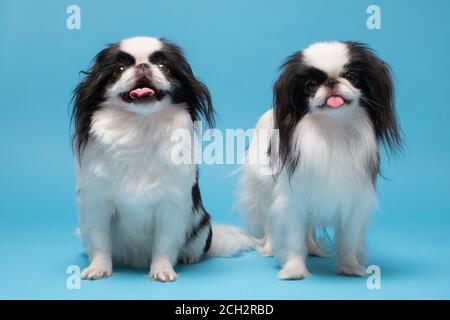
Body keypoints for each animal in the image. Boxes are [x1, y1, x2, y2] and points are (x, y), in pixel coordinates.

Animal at [71, 36, 251, 282]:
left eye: (163, 66)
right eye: (119, 69)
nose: (143, 66)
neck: (139, 126)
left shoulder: (171, 206)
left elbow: (164, 244)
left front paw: (162, 271)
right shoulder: (96, 203)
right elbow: (100, 241)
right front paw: (98, 268)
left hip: (202, 226)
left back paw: (189, 257)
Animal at [239, 41, 400, 278]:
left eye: (351, 76)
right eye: (310, 85)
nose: (332, 82)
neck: (332, 129)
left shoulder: (353, 201)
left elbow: (348, 239)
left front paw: (349, 266)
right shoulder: (292, 201)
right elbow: (293, 238)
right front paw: (294, 269)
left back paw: (313, 248)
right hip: (263, 187)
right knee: (268, 220)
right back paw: (269, 248)